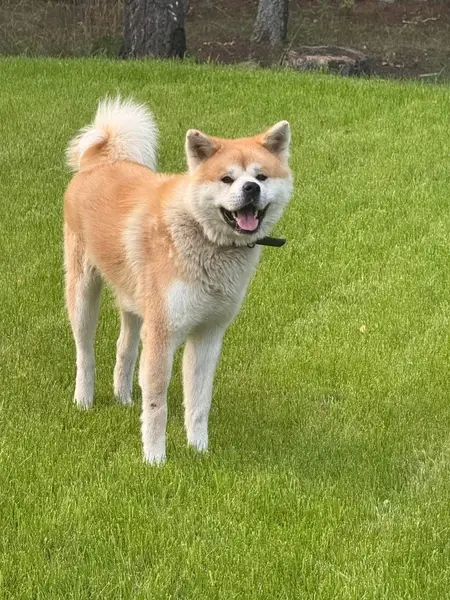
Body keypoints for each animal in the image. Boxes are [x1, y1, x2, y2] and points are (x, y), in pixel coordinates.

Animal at [64, 97, 293, 464]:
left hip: (134, 301)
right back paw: (84, 399)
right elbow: (157, 405)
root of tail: (100, 161)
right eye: (227, 178)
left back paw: (123, 397)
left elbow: (199, 403)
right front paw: (155, 459)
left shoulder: (208, 335)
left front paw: (199, 450)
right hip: (83, 292)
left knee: (125, 348)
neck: (203, 235)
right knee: (84, 352)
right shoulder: (163, 333)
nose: (251, 188)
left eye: (261, 176)